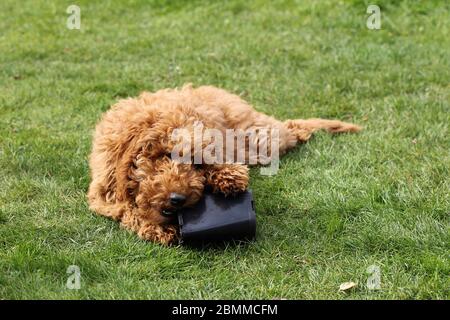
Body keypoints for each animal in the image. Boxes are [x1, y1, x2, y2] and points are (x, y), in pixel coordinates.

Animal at [87, 84, 362, 244]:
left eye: (196, 164)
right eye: (165, 155)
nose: (178, 198)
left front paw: (229, 177)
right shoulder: (102, 192)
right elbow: (125, 210)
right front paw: (155, 228)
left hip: (259, 138)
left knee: (292, 129)